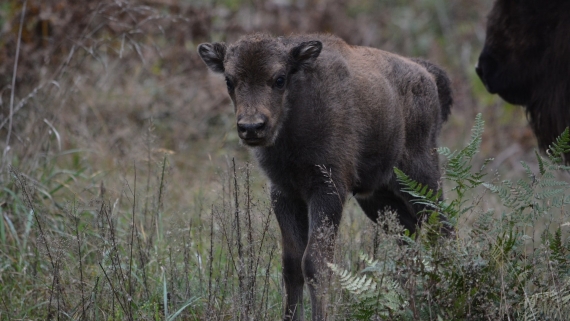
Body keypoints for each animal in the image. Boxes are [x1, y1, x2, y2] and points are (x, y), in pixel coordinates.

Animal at [197, 33, 450, 320]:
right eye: (229, 80)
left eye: (280, 78)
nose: (251, 127)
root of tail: (427, 75)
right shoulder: (285, 194)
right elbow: (291, 264)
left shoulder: (328, 191)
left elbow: (315, 262)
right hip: (377, 198)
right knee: (409, 236)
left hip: (422, 178)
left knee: (443, 230)